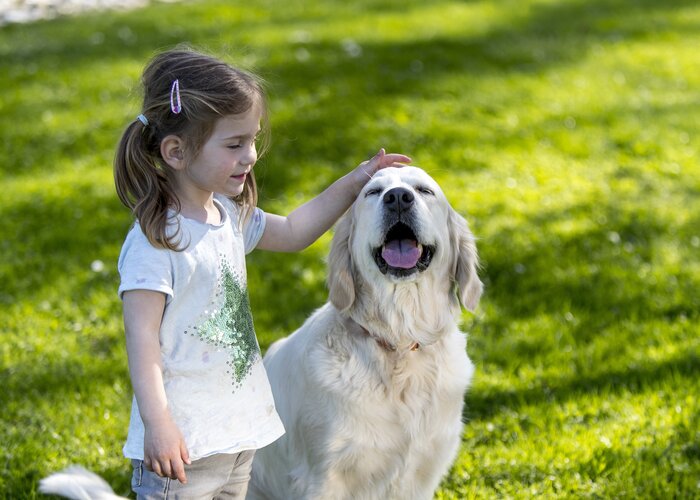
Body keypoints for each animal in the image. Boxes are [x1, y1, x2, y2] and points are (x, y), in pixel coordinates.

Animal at [249, 167, 484, 500]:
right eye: (372, 192)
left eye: (424, 190)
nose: (398, 197)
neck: (399, 342)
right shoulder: (323, 476)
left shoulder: (423, 470)